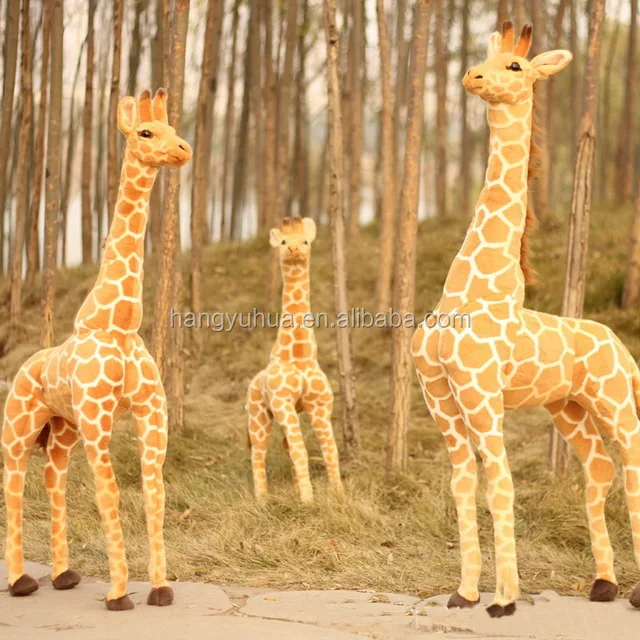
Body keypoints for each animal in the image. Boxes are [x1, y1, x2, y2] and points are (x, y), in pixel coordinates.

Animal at [2, 89, 192, 611]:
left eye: (173, 128)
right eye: (146, 132)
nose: (183, 150)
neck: (119, 323)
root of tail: (23, 366)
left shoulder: (151, 414)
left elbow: (154, 494)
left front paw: (161, 589)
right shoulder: (97, 422)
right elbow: (110, 496)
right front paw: (119, 594)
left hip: (63, 430)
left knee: (54, 479)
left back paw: (63, 574)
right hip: (19, 426)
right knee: (13, 483)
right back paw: (21, 581)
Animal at [247, 217, 342, 504]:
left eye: (306, 241)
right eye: (283, 241)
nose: (294, 250)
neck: (300, 356)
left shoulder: (319, 406)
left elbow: (330, 449)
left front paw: (339, 493)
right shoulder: (283, 402)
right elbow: (303, 449)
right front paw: (308, 500)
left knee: (285, 445)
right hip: (258, 414)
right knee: (258, 452)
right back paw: (262, 499)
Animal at [412, 22, 640, 617]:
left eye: (515, 67)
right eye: (485, 56)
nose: (473, 77)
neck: (468, 291)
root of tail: (621, 345)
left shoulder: (481, 394)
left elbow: (501, 483)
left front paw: (504, 600)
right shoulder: (440, 398)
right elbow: (464, 485)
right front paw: (465, 593)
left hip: (615, 401)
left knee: (633, 466)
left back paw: (633, 593)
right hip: (568, 407)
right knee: (599, 468)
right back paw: (604, 585)